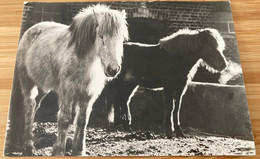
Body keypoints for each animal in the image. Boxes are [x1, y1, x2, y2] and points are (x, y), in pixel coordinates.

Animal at [5, 4, 128, 156]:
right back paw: (28, 145)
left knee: (35, 106)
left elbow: (82, 121)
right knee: (29, 107)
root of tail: (29, 31)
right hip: (27, 82)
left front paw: (79, 151)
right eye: (101, 37)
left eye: (122, 38)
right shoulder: (67, 93)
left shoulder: (88, 97)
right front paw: (58, 151)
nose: (113, 69)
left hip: (43, 87)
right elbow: (64, 119)